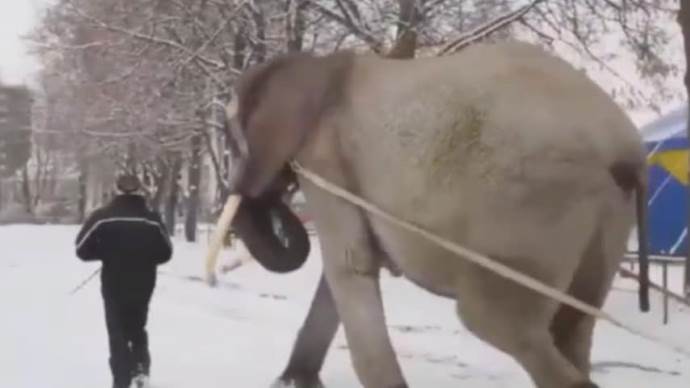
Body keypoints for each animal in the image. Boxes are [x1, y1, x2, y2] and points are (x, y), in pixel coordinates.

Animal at [223, 40, 648, 388]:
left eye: (233, 142)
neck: (318, 64)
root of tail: (625, 149)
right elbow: (343, 269)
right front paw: (293, 382)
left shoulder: (325, 158)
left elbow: (349, 264)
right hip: (605, 219)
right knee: (572, 326)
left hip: (530, 211)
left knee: (496, 320)